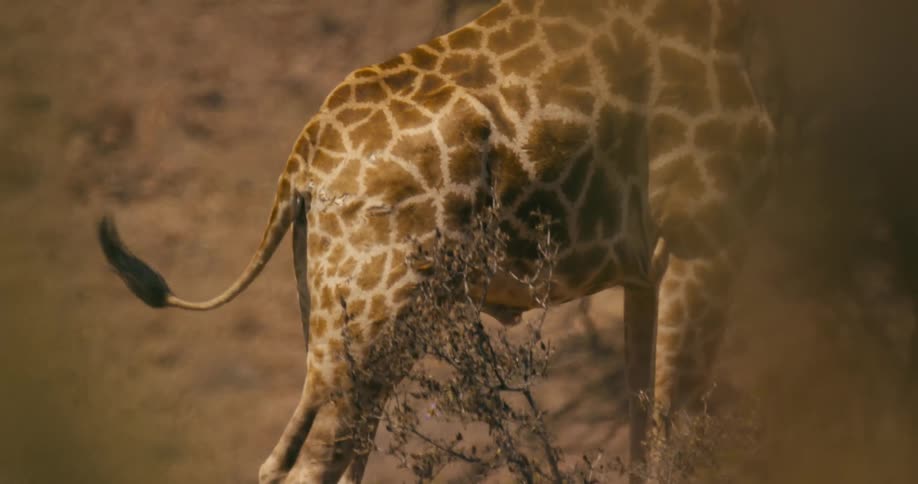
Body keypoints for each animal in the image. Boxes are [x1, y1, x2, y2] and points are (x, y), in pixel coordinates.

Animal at [98, 0, 775, 482]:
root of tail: (302, 162)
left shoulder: (645, 270)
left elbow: (642, 438)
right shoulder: (701, 235)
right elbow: (673, 441)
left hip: (342, 319)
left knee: (315, 458)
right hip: (375, 313)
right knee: (310, 463)